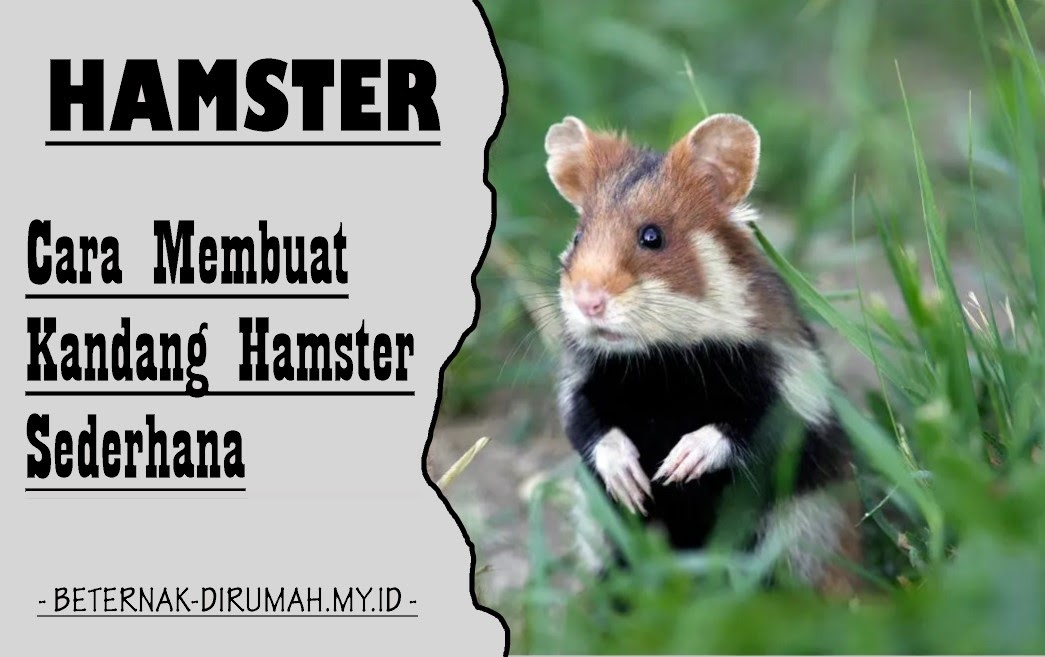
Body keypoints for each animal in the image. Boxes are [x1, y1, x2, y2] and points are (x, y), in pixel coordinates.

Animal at [544, 112, 862, 595]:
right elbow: (589, 426)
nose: (587, 303)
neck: (661, 358)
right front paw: (635, 484)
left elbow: (750, 426)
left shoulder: (789, 383)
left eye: (652, 236)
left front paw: (675, 468)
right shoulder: (581, 382)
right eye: (578, 237)